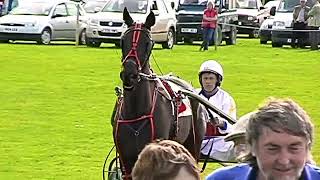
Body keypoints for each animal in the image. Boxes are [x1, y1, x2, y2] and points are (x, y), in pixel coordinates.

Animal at [112, 7, 206, 179]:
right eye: (122, 41)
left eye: (148, 43)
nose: (129, 75)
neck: (136, 112)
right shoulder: (126, 163)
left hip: (193, 144)